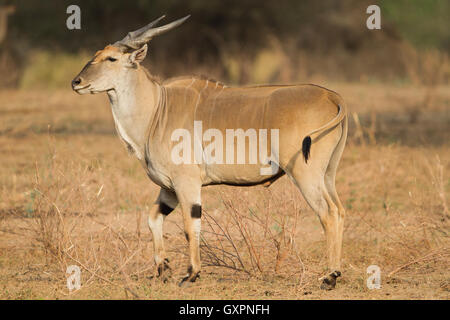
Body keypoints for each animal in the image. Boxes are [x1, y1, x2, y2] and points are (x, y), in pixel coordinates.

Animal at [73, 15, 348, 290]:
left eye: (111, 58)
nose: (76, 82)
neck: (157, 109)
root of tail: (332, 96)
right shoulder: (169, 188)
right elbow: (153, 218)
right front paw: (163, 268)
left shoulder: (187, 183)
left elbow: (190, 226)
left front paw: (191, 273)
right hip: (327, 175)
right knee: (339, 210)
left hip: (305, 174)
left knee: (328, 213)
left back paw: (330, 276)